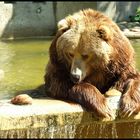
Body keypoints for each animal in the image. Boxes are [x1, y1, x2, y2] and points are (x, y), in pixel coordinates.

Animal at [11, 8, 140, 120]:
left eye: (86, 55)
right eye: (70, 53)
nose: (75, 76)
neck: (97, 71)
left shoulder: (121, 62)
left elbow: (132, 77)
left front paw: (128, 107)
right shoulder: (58, 65)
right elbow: (61, 84)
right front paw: (104, 108)